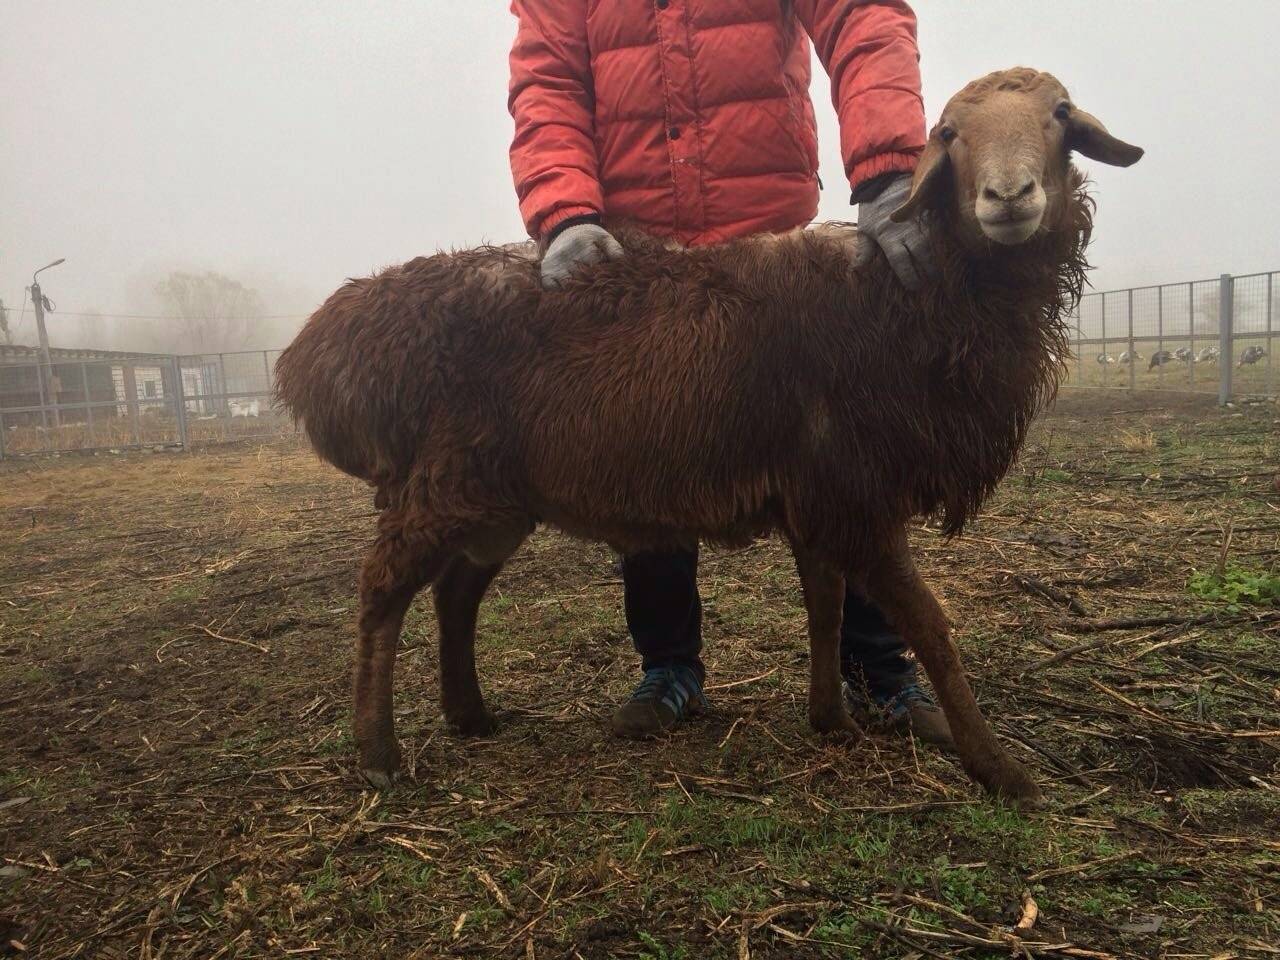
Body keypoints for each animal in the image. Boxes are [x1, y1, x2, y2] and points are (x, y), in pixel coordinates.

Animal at [277, 64, 1141, 808]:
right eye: (952, 134)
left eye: (1060, 117)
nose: (1009, 194)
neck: (913, 304)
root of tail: (325, 343)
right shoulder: (854, 491)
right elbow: (928, 624)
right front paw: (999, 769)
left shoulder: (820, 492)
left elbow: (826, 605)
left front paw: (832, 719)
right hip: (443, 481)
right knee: (381, 593)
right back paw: (379, 753)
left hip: (494, 492)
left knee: (457, 591)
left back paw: (471, 715)